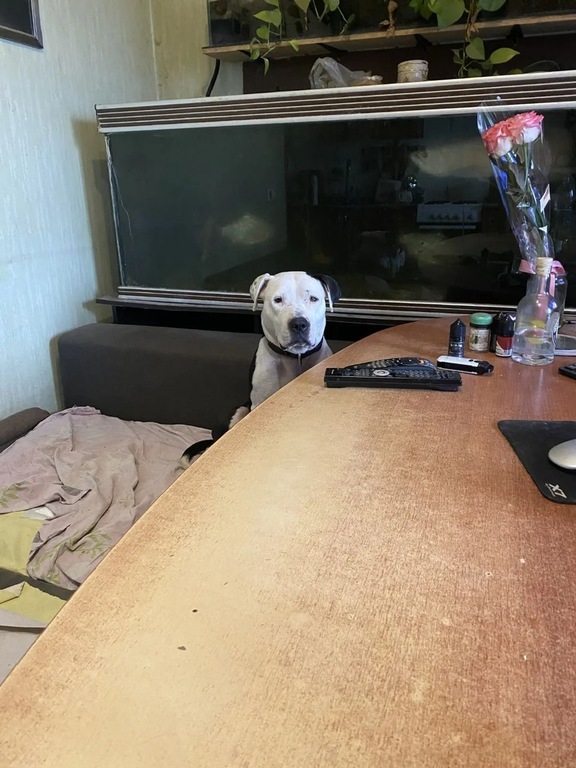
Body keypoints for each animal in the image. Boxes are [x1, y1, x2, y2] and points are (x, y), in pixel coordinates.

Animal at [180, 271, 341, 467]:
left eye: (313, 298)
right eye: (278, 300)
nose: (299, 323)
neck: (295, 359)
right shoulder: (258, 403)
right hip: (238, 411)